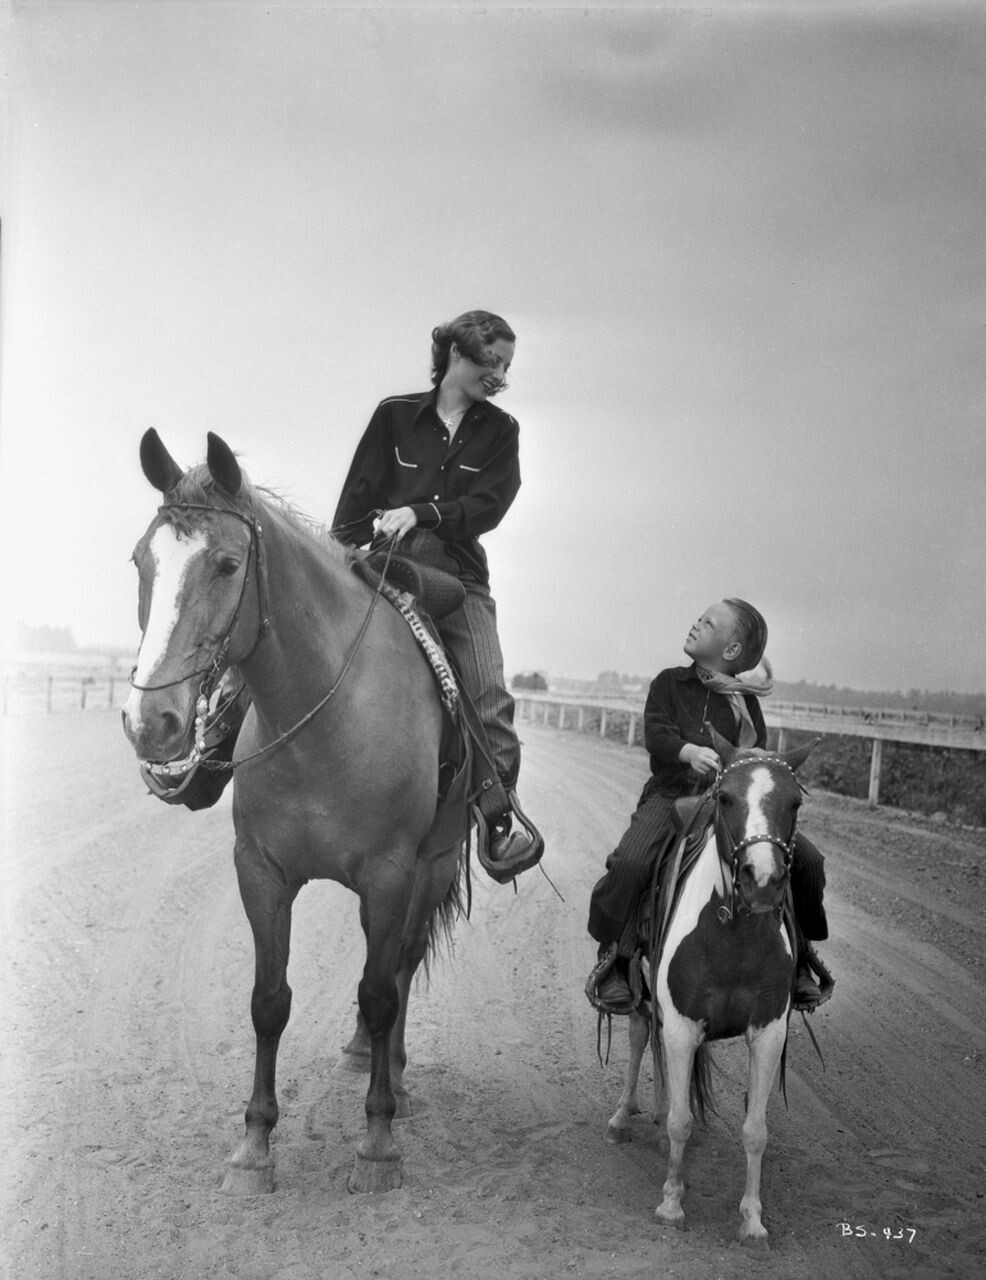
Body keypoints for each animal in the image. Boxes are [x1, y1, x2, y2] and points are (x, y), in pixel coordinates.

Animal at [122, 429, 469, 1195]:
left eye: (228, 564)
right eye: (140, 561)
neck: (325, 711)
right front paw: (254, 1145)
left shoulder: (391, 874)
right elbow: (269, 1001)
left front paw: (378, 1142)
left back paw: (394, 1078)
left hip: (430, 866)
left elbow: (380, 992)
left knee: (400, 969)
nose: (150, 722)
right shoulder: (261, 871)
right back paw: (364, 1056)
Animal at [606, 729, 818, 1246]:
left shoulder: (769, 1032)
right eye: (726, 798)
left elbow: (756, 1130)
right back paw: (625, 1116)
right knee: (640, 1036)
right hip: (640, 985)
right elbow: (682, 1120)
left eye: (795, 801)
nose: (763, 881)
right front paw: (671, 1203)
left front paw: (752, 1219)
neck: (735, 934)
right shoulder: (683, 1025)